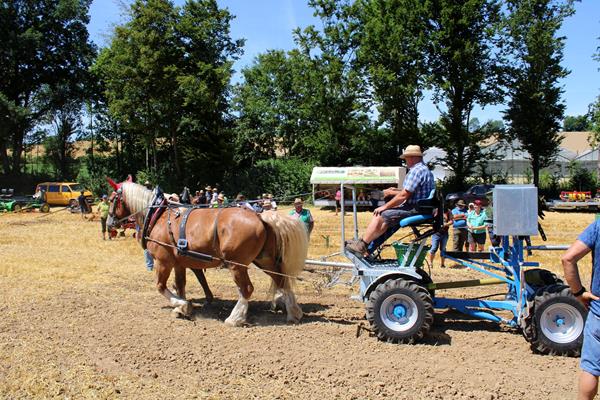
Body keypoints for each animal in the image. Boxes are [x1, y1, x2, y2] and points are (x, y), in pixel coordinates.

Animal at [105, 180, 308, 326]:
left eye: (113, 199)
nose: (109, 223)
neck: (158, 216)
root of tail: (260, 216)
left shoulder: (163, 261)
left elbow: (161, 287)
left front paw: (183, 305)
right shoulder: (179, 263)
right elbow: (180, 286)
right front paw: (181, 308)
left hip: (236, 264)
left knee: (247, 289)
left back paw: (234, 319)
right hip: (264, 260)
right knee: (282, 281)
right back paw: (294, 313)